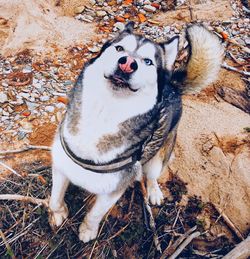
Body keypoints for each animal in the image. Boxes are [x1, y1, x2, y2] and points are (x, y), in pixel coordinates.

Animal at [48, 22, 223, 244]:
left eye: (148, 61)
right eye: (119, 48)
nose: (128, 63)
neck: (102, 115)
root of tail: (172, 86)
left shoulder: (113, 191)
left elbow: (95, 214)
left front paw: (88, 230)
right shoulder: (61, 166)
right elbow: (55, 198)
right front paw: (58, 213)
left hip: (159, 157)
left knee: (152, 174)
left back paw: (154, 191)